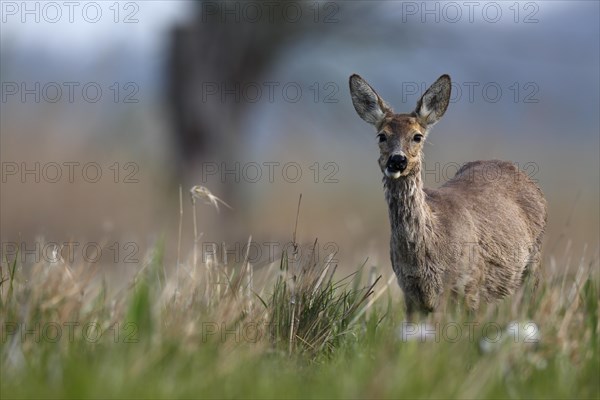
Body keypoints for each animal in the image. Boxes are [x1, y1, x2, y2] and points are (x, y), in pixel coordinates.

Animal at [346, 74, 548, 318]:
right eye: (381, 135)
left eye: (417, 136)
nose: (397, 160)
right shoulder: (411, 295)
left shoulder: (469, 285)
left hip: (532, 265)